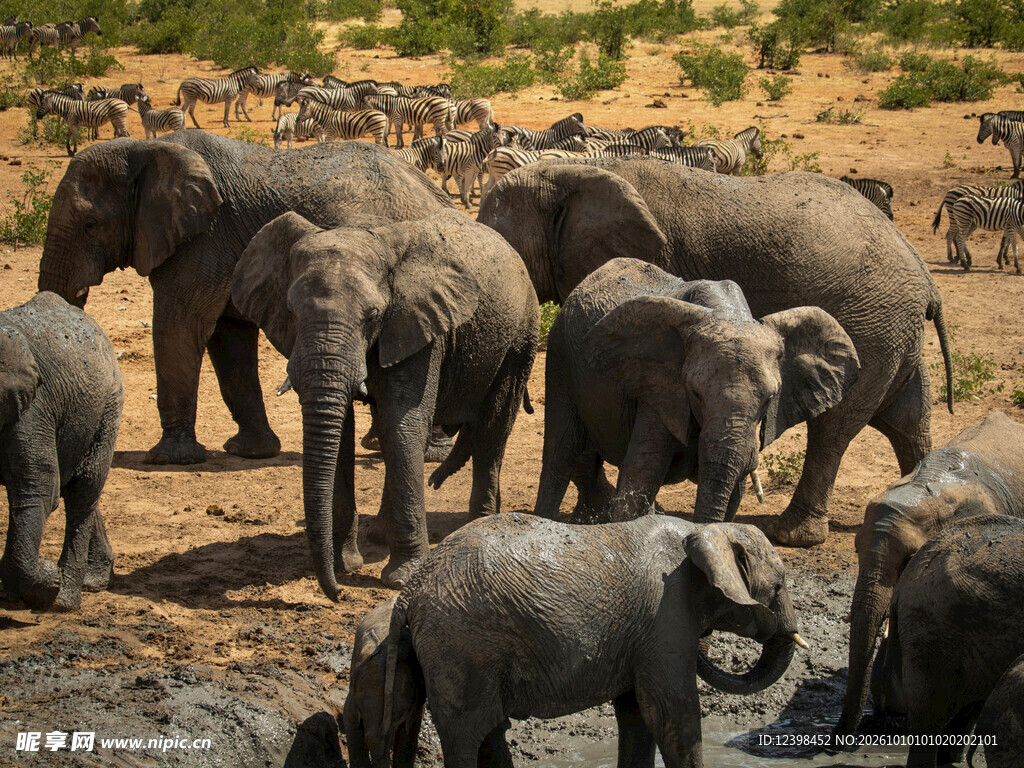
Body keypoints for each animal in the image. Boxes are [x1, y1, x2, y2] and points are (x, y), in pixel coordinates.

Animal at [0, 292, 123, 611]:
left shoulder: (30, 409)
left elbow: (39, 490)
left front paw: (46, 583)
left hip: (109, 405)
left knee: (83, 489)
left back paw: (65, 599)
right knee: (77, 486)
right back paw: (93, 581)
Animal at [38, 130, 452, 465]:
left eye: (91, 225)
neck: (144, 147)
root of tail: (434, 193)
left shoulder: (204, 240)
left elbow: (179, 326)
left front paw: (169, 460)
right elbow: (228, 339)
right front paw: (250, 452)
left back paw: (421, 451)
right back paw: (382, 444)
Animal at [230, 210, 539, 591]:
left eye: (373, 316)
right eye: (291, 311)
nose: (335, 592)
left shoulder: (420, 326)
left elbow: (402, 428)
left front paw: (400, 579)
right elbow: (343, 436)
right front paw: (345, 565)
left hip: (521, 334)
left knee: (492, 428)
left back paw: (477, 524)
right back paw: (379, 534)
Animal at [382, 513, 807, 768]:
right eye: (779, 586)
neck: (704, 529)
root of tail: (412, 588)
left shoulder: (646, 633)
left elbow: (636, 712)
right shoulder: (666, 618)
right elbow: (671, 711)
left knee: (476, 731)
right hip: (462, 647)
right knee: (466, 736)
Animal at [535, 258, 859, 524]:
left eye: (768, 400)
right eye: (695, 393)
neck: (726, 311)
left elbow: (735, 488)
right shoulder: (659, 389)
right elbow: (641, 474)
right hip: (560, 356)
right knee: (562, 450)